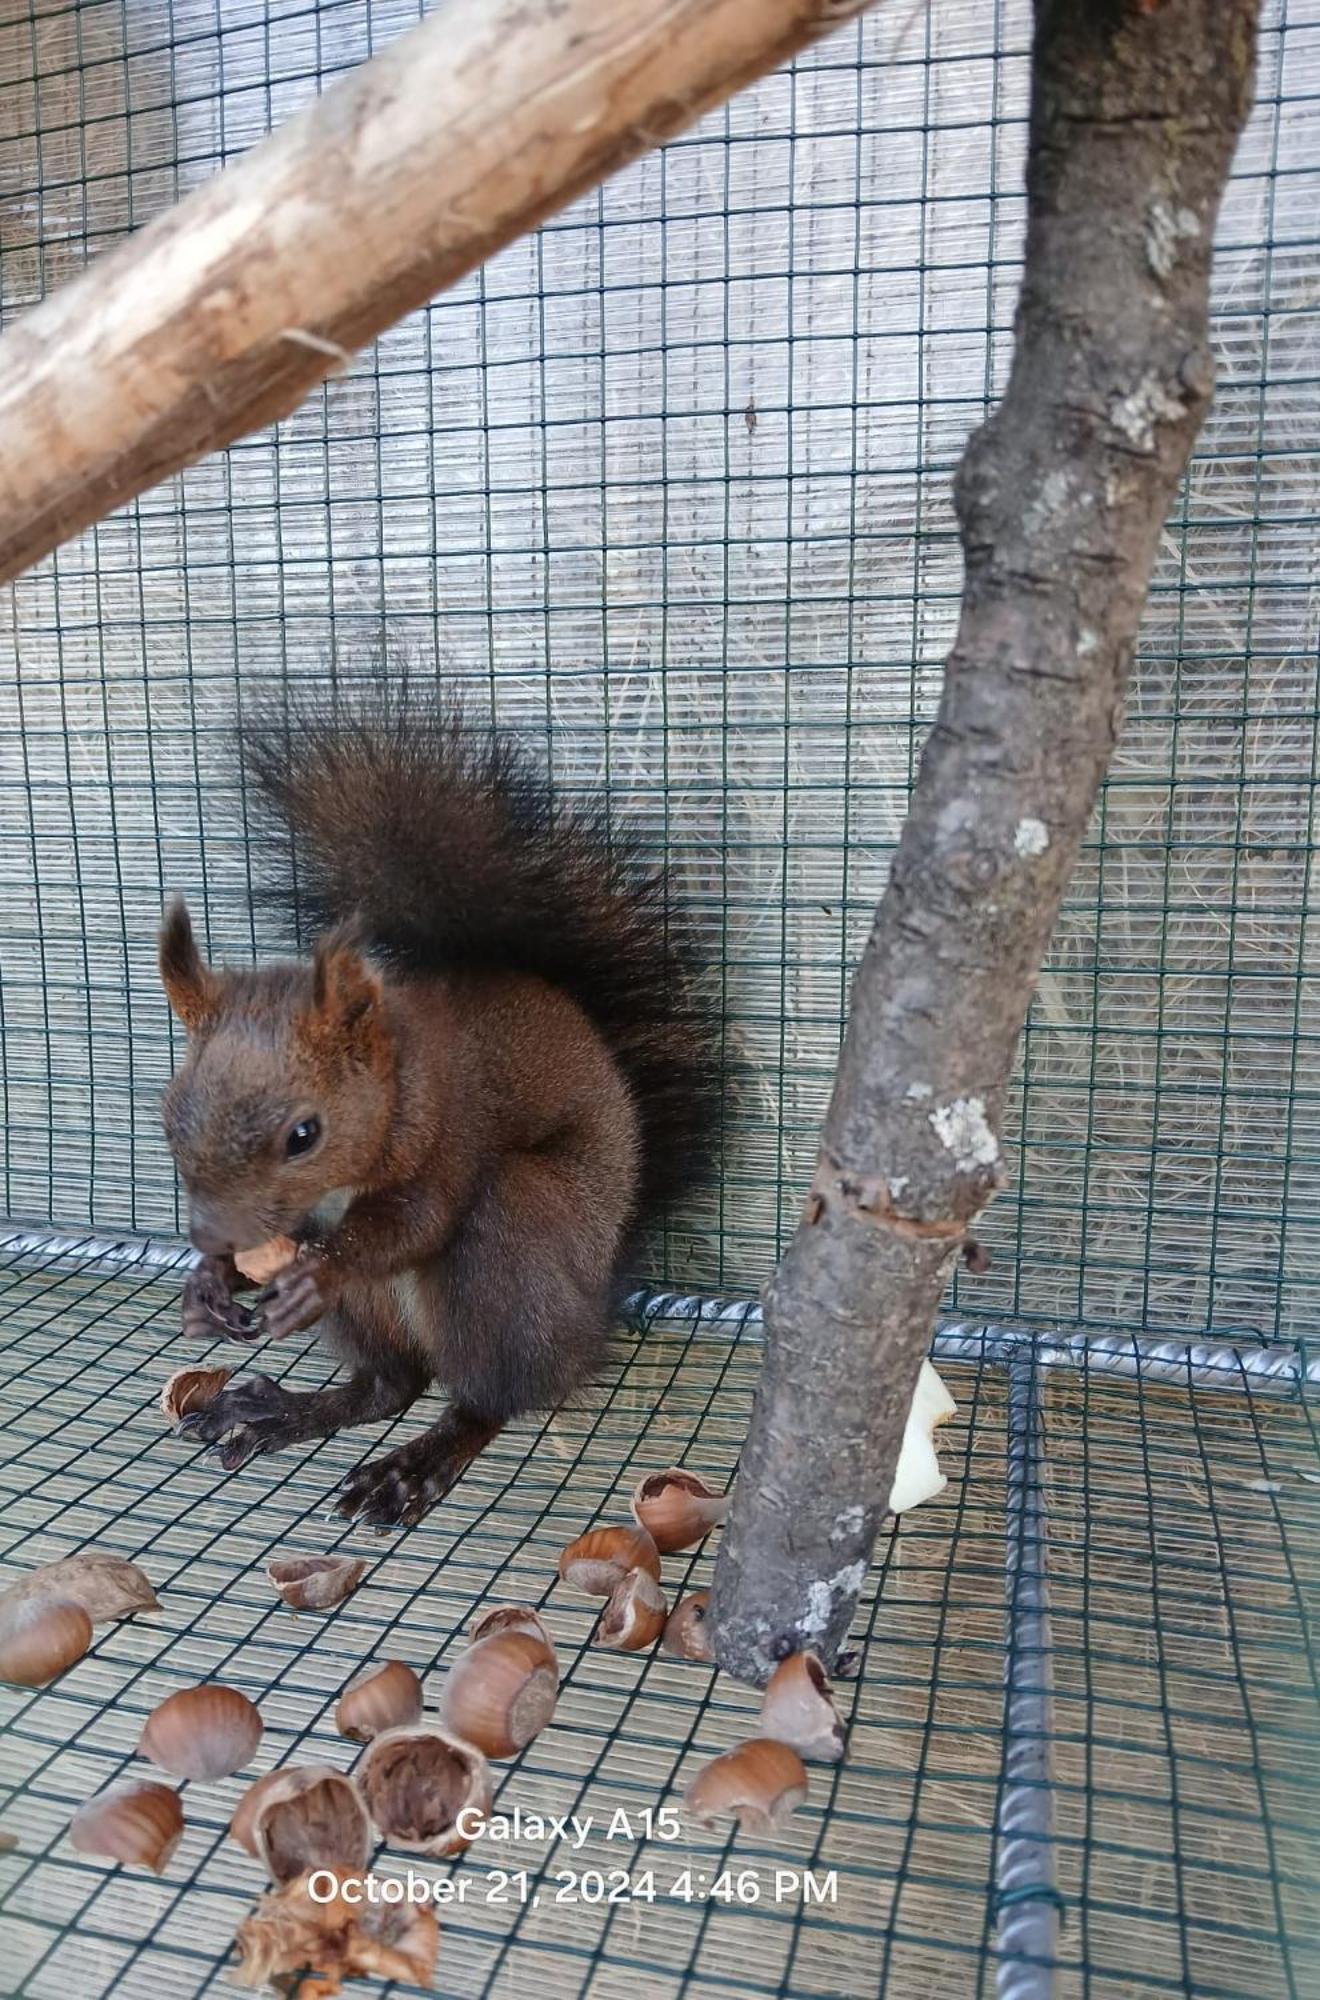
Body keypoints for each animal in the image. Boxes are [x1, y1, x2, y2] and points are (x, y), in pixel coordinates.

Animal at [165, 696, 728, 1520]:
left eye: (304, 1134)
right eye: (168, 1115)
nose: (212, 1235)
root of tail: (591, 1309)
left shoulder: (456, 1120)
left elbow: (421, 1220)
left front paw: (316, 1273)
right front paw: (210, 1281)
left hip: (513, 1242)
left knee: (495, 1393)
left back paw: (420, 1460)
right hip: (376, 1319)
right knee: (390, 1386)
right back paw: (283, 1412)